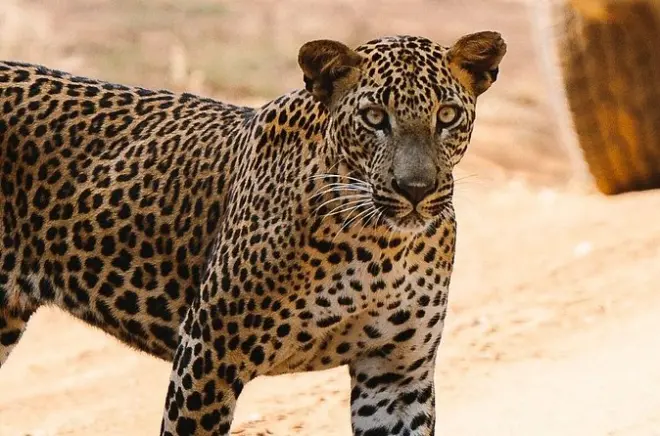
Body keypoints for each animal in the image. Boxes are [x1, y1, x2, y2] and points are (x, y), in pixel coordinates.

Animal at [0, 31, 506, 435]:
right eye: (375, 118)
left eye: (446, 116)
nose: (415, 189)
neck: (380, 244)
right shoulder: (208, 354)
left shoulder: (396, 375)